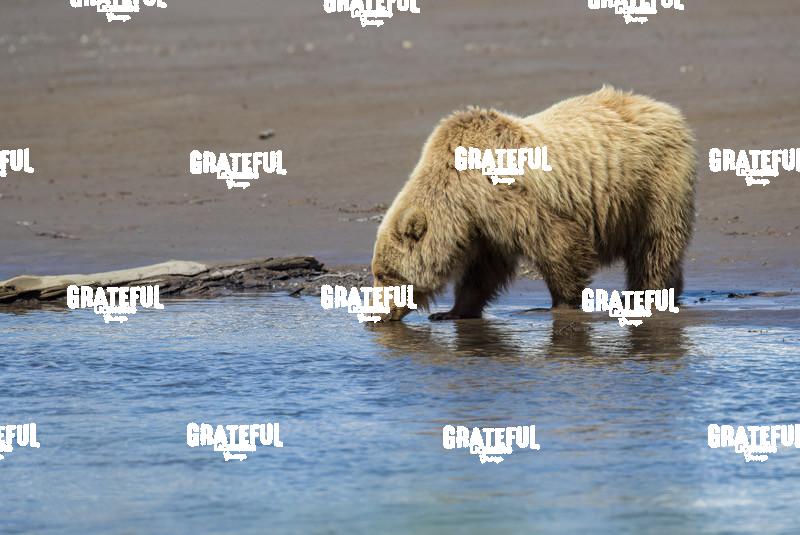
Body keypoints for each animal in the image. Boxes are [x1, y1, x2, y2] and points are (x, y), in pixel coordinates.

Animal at [371, 86, 696, 321]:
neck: (460, 201)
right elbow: (483, 272)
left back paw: (649, 295)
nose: (374, 314)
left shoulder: (510, 198)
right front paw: (451, 312)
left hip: (654, 183)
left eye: (383, 274)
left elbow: (558, 243)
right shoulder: (484, 226)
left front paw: (561, 303)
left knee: (655, 245)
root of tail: (667, 109)